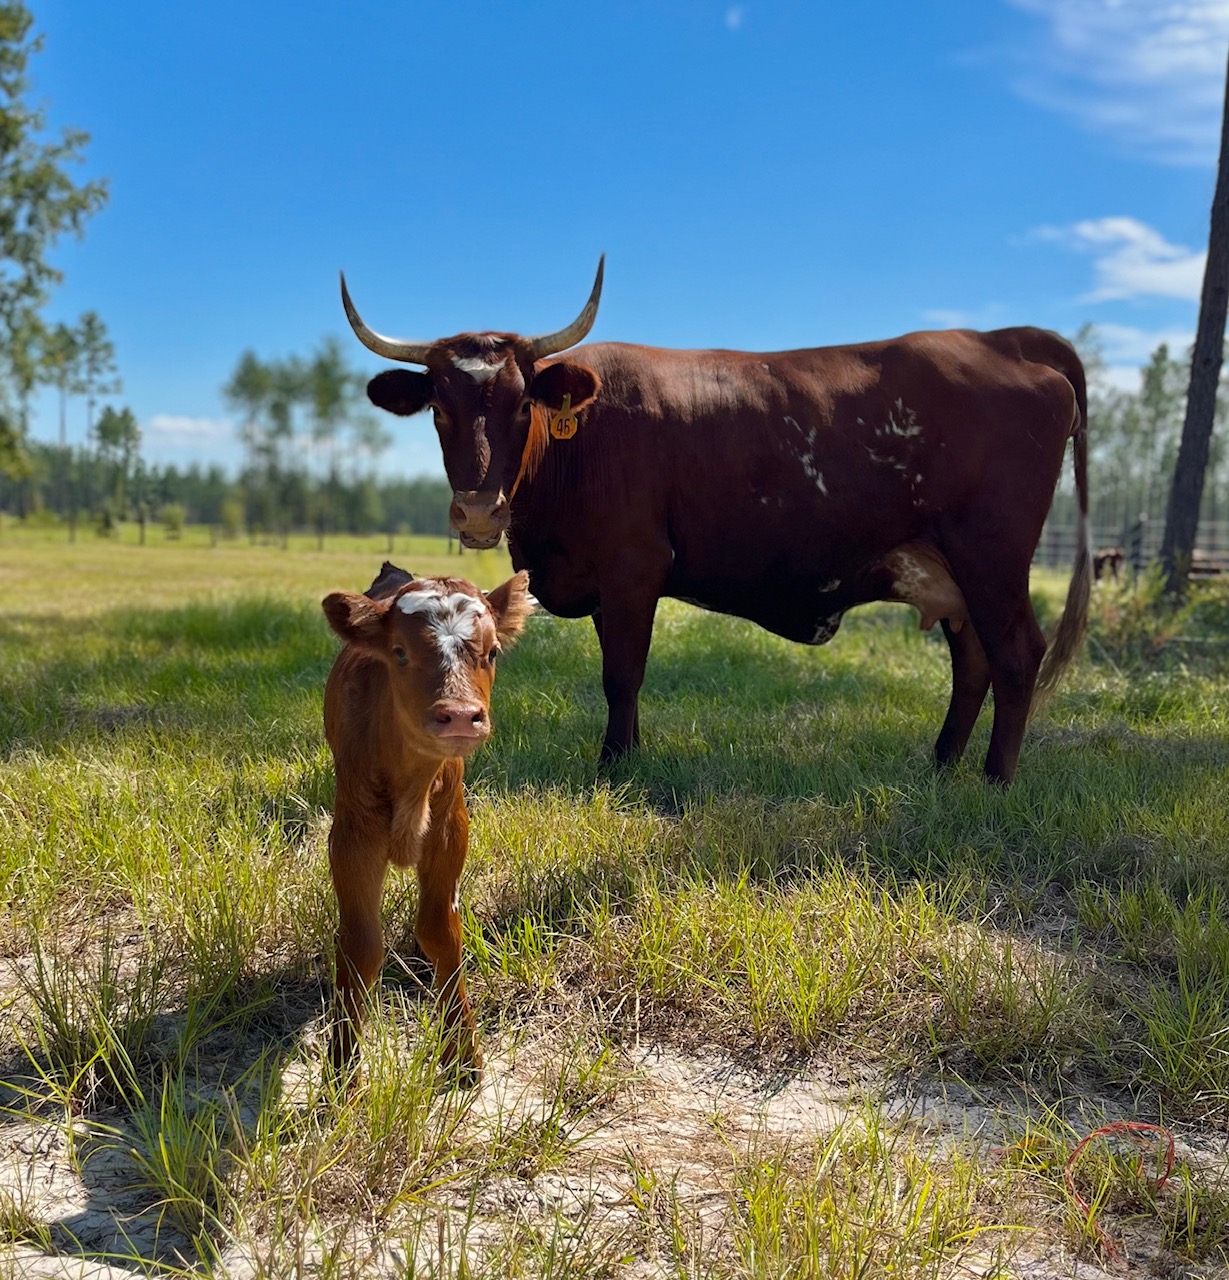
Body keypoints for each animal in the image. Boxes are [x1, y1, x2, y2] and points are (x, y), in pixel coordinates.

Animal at [322, 561, 532, 1078]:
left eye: (492, 651)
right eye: (399, 653)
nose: (458, 716)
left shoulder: (450, 828)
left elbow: (440, 931)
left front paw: (462, 1052)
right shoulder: (352, 836)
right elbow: (360, 945)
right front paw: (342, 1069)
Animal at [340, 260, 1089, 785]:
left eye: (522, 404)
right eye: (439, 407)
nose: (477, 510)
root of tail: (999, 341)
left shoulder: (633, 570)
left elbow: (622, 674)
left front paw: (614, 766)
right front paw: (630, 754)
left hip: (991, 556)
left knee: (1016, 654)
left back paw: (994, 781)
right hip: (948, 572)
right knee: (973, 661)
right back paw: (941, 766)